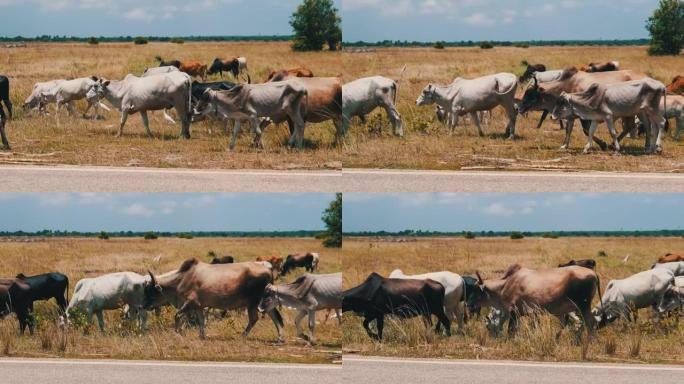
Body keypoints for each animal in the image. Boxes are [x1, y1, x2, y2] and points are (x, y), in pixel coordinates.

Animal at [143, 258, 284, 340]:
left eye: (151, 291)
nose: (144, 306)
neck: (181, 279)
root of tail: (268, 269)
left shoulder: (189, 303)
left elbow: (177, 316)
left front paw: (177, 333)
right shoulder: (199, 306)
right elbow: (201, 321)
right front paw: (202, 336)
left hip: (253, 302)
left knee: (254, 318)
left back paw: (242, 336)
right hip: (264, 302)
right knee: (275, 317)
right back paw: (280, 338)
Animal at [470, 266, 600, 338]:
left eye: (477, 290)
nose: (470, 305)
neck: (506, 285)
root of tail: (593, 273)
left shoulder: (514, 312)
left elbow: (511, 330)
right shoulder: (532, 314)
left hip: (583, 306)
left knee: (590, 322)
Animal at [520, 67, 648, 151]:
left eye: (530, 94)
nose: (519, 108)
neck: (568, 85)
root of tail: (646, 76)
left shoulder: (584, 115)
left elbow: (586, 130)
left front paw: (603, 144)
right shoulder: (570, 115)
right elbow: (569, 129)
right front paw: (564, 145)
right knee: (630, 127)